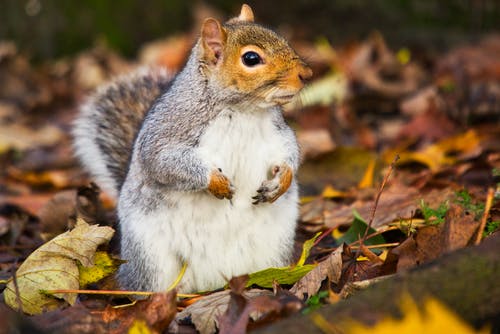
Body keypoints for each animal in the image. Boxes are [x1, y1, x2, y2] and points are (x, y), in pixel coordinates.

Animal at [72, 4, 310, 292]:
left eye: (281, 37)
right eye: (251, 58)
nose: (306, 75)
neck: (243, 110)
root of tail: (210, 282)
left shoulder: (277, 134)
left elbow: (290, 152)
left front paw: (281, 181)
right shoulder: (167, 132)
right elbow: (163, 161)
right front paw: (215, 182)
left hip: (272, 247)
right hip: (152, 258)